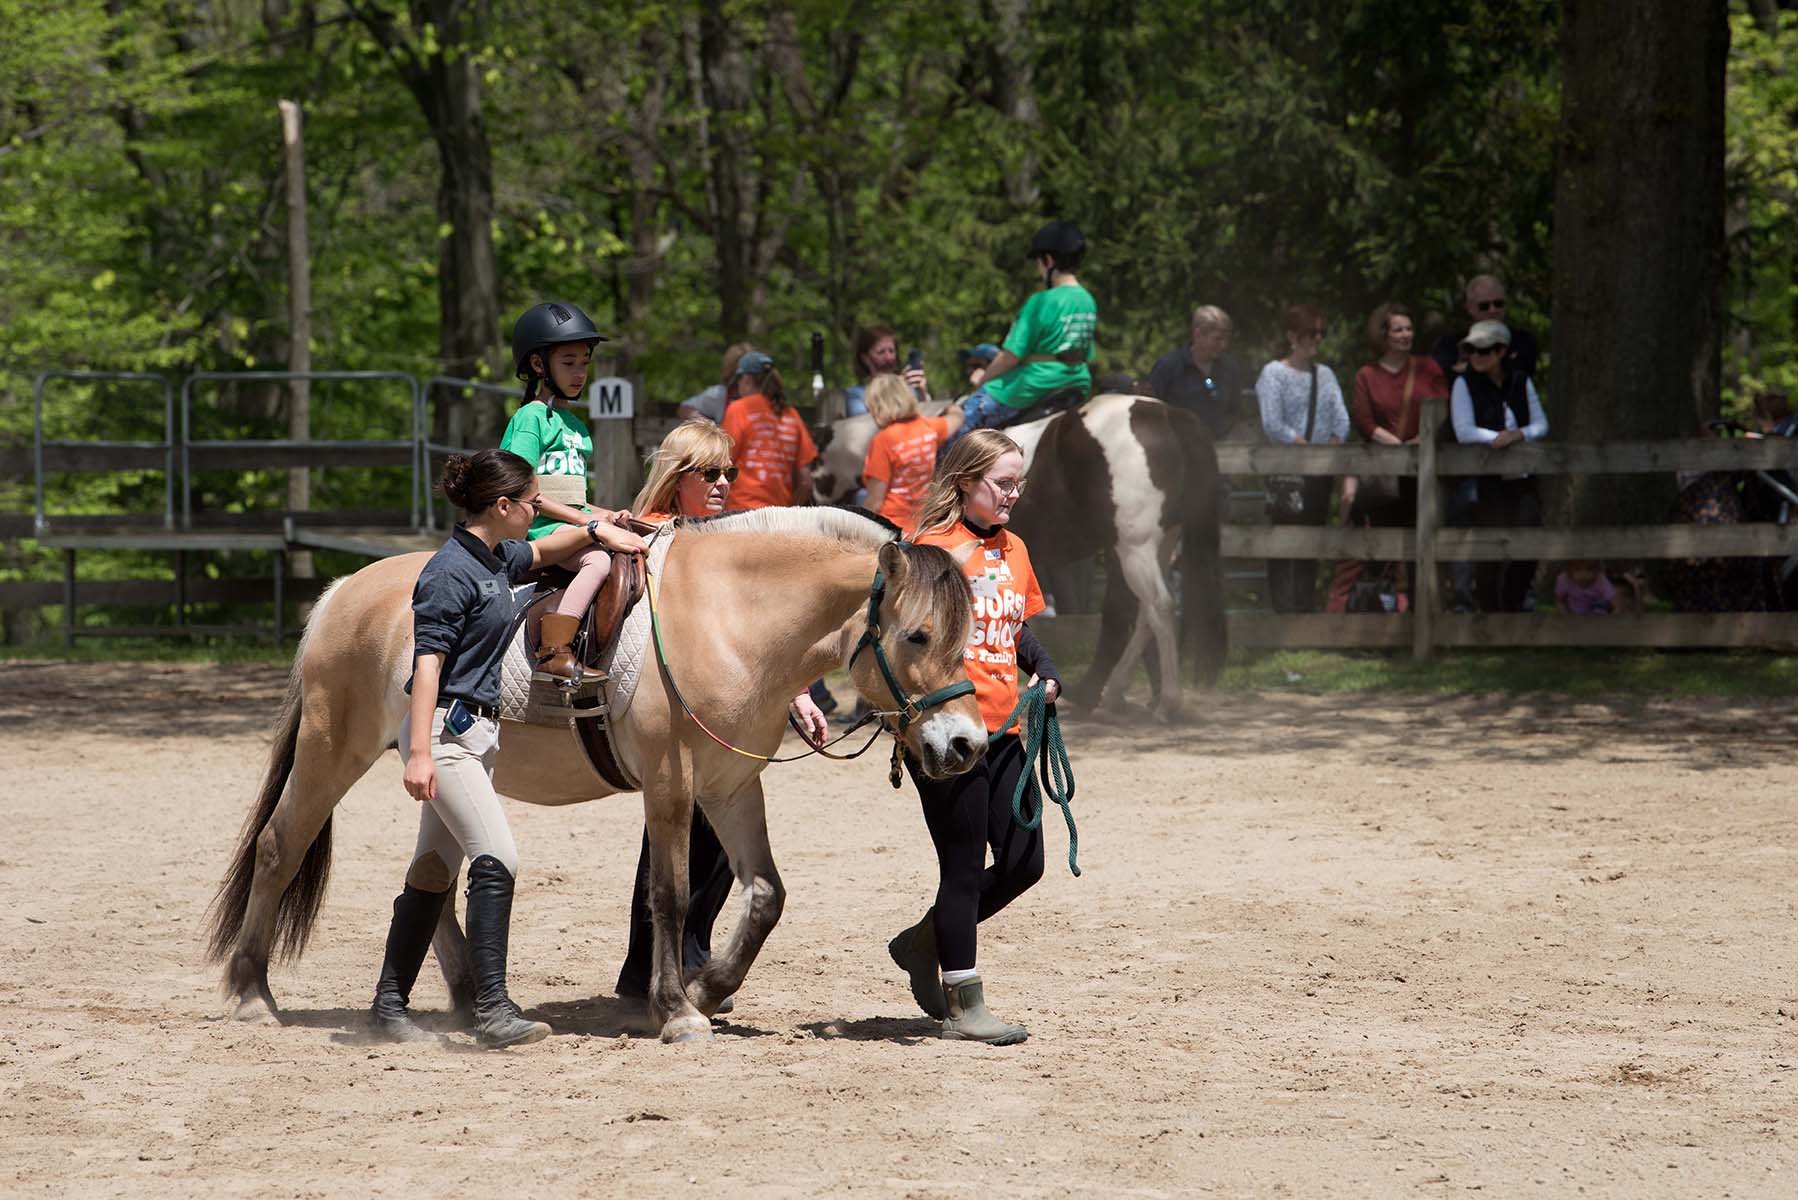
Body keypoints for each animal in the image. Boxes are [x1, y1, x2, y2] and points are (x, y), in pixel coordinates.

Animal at [206, 503, 985, 1043]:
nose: (966, 745)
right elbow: (668, 895)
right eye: (918, 636)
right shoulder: (671, 783)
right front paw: (676, 1011)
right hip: (331, 750)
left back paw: (465, 994)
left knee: (436, 880)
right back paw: (251, 995)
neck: (730, 618)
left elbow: (766, 894)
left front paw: (709, 988)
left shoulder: (730, 786)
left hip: (437, 772)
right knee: (279, 847)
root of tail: (342, 592)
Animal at [812, 394, 1222, 712]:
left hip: (1135, 547)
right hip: (1156, 544)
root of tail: (1166, 414)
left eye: (815, 471)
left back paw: (1165, 701)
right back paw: (1110, 693)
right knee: (1143, 614)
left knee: (1159, 607)